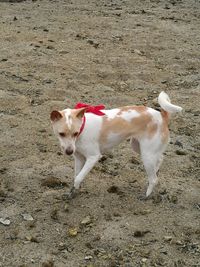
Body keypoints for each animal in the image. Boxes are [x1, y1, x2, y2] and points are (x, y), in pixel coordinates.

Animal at [50, 92, 183, 199]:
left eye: (75, 133)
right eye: (61, 134)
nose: (69, 151)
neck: (83, 127)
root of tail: (162, 116)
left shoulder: (93, 157)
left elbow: (78, 177)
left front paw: (75, 188)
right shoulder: (79, 158)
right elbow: (76, 176)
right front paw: (72, 193)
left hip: (147, 155)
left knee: (154, 179)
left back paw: (146, 196)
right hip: (139, 147)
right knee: (160, 159)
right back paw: (156, 171)